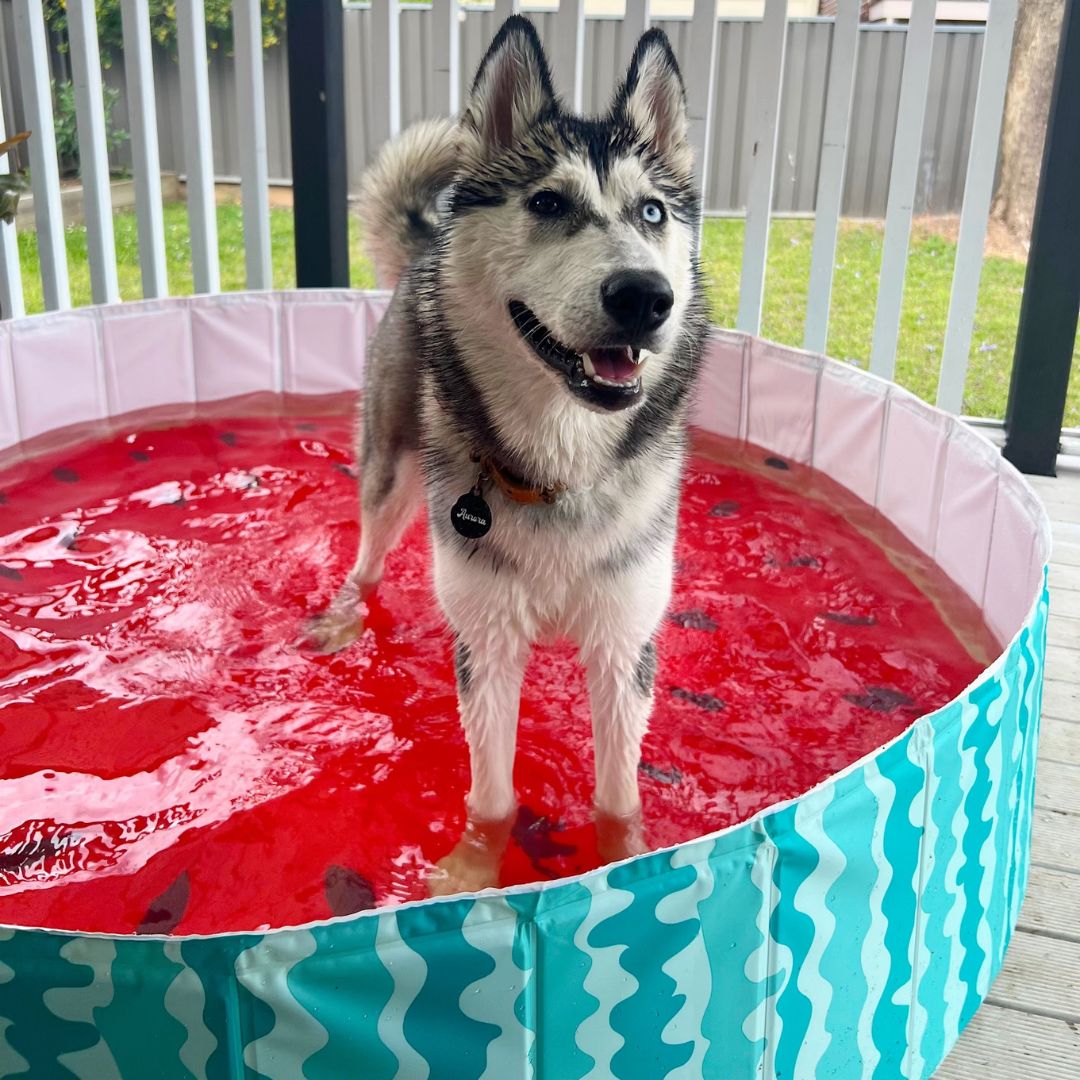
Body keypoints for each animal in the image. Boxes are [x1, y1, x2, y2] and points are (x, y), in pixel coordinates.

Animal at [312, 16, 709, 894]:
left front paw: (628, 863)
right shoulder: (487, 640)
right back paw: (345, 612)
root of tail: (430, 240)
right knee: (368, 552)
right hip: (391, 471)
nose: (645, 296)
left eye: (653, 211)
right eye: (549, 202)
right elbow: (491, 793)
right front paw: (472, 869)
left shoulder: (623, 641)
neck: (558, 473)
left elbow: (617, 795)